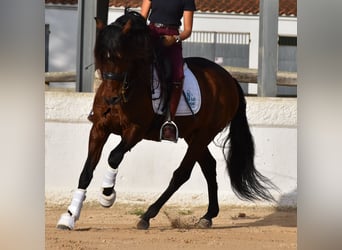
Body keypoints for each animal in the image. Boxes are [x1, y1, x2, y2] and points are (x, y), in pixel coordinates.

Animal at [56, 9, 276, 230]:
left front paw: (107, 195)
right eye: (100, 58)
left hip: (203, 135)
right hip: (193, 135)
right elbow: (86, 171)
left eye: (121, 58)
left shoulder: (135, 130)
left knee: (182, 174)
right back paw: (208, 216)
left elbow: (114, 156)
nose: (111, 99)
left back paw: (147, 215)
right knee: (209, 166)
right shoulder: (100, 128)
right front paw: (70, 216)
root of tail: (229, 80)